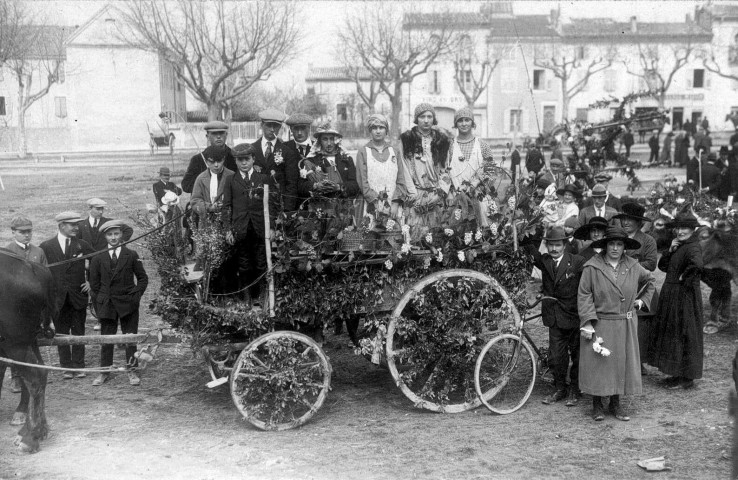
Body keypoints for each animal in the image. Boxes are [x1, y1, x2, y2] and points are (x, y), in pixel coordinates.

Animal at [0, 249, 57, 452]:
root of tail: (33, 267)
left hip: (16, 343)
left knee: (35, 376)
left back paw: (31, 436)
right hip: (28, 341)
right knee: (41, 372)